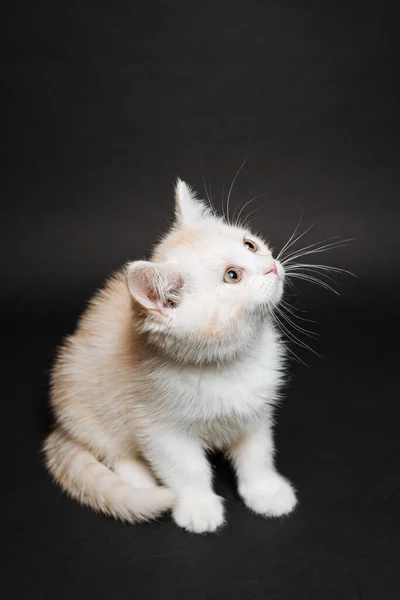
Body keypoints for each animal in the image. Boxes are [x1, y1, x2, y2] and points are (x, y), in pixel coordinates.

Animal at [43, 179, 296, 536]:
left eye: (250, 245)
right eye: (232, 276)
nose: (271, 266)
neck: (230, 365)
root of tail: (59, 427)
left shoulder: (255, 410)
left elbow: (257, 454)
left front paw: (265, 491)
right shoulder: (160, 429)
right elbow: (187, 469)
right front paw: (197, 506)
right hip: (81, 399)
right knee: (113, 451)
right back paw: (143, 482)